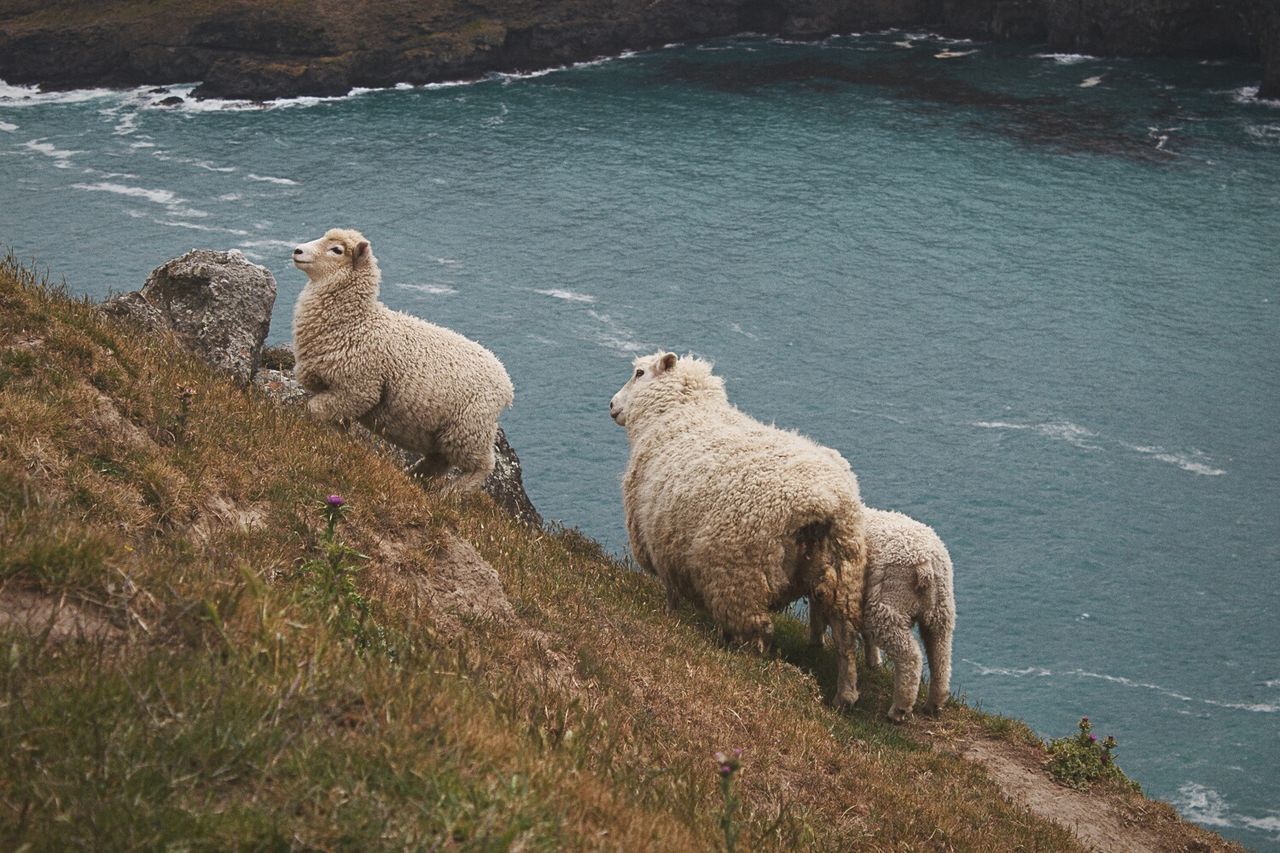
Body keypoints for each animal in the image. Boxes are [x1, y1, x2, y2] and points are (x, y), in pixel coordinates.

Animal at [293, 227, 512, 491]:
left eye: (337, 250)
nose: (297, 250)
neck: (355, 322)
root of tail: (506, 381)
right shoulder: (340, 393)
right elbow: (336, 422)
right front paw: (340, 443)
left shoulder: (359, 389)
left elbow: (314, 408)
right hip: (450, 431)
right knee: (439, 460)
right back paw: (416, 478)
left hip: (469, 428)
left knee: (482, 465)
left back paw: (452, 491)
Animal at [611, 348, 870, 706]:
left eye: (638, 373)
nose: (612, 405)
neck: (678, 413)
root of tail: (823, 502)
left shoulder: (660, 542)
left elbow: (671, 593)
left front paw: (669, 618)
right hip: (844, 569)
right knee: (846, 636)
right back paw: (844, 696)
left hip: (736, 569)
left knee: (758, 629)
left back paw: (746, 663)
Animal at [808, 504, 952, 717]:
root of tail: (925, 565)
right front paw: (873, 661)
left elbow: (818, 613)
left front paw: (816, 642)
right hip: (940, 611)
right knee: (941, 655)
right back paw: (934, 703)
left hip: (888, 607)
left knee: (910, 657)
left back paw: (899, 708)